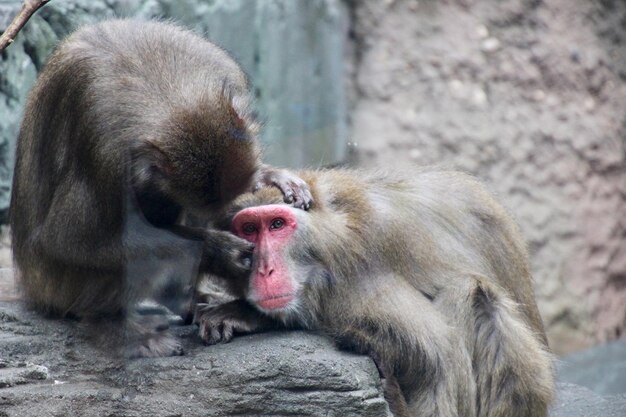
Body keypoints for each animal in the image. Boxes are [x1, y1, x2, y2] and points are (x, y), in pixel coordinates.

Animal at [9, 19, 312, 356]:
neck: (172, 97)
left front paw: (268, 177)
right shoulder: (106, 153)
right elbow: (70, 243)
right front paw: (218, 250)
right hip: (58, 289)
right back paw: (121, 326)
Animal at [195, 167, 552, 414]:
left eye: (277, 225)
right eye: (249, 229)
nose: (265, 269)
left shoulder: (367, 263)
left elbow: (437, 353)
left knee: (473, 294)